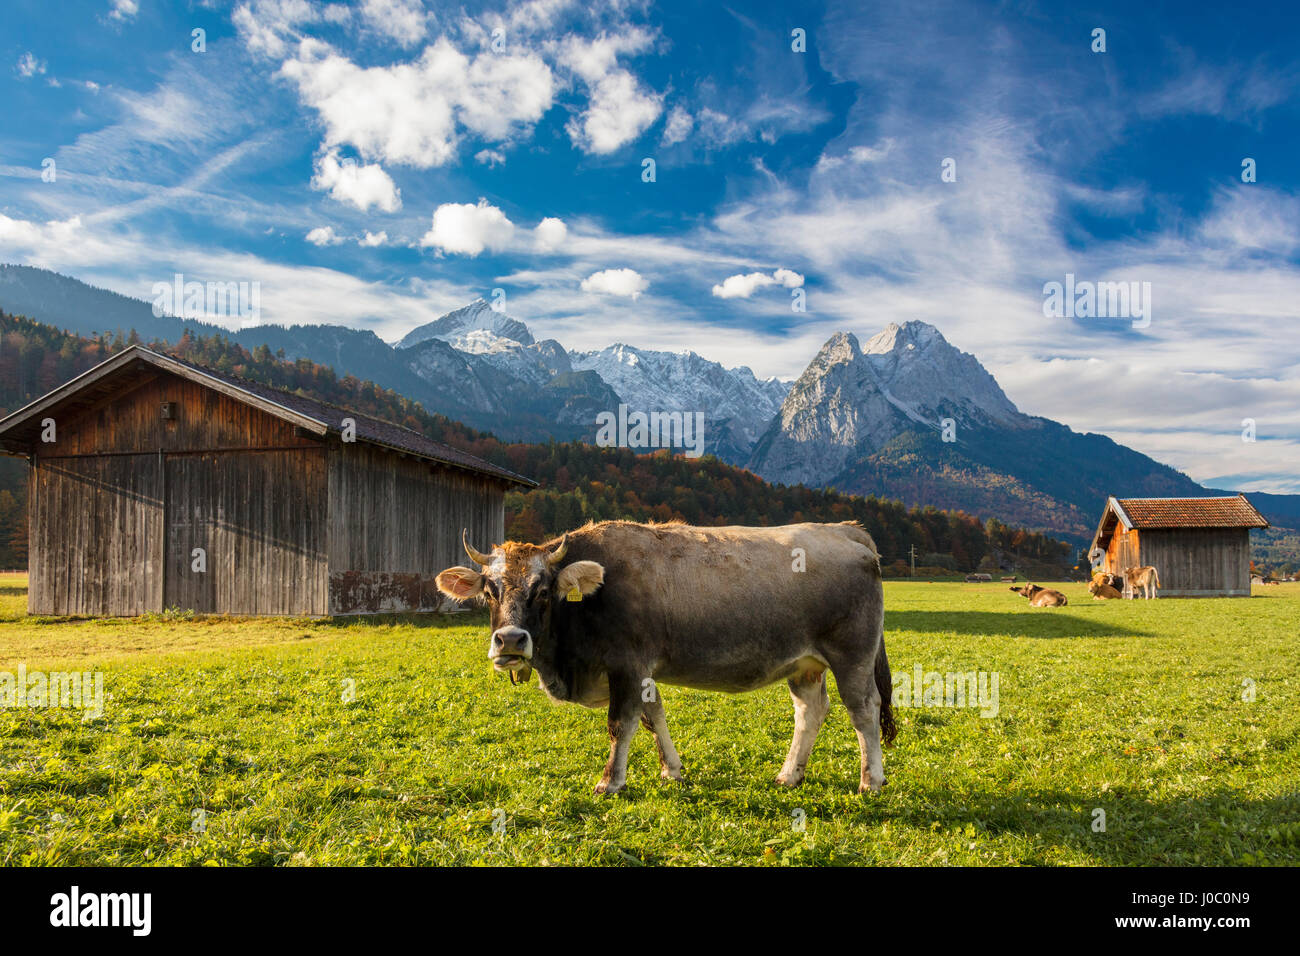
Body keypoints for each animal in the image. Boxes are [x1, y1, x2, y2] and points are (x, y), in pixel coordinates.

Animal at [436, 520, 894, 796]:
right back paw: (789, 775)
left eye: (543, 590)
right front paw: (672, 770)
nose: (511, 640)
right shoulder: (642, 672)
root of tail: (845, 530)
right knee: (810, 711)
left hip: (852, 656)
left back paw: (871, 781)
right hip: (805, 665)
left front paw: (610, 782)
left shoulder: (628, 664)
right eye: (489, 590)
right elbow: (654, 717)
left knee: (864, 709)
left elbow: (621, 724)